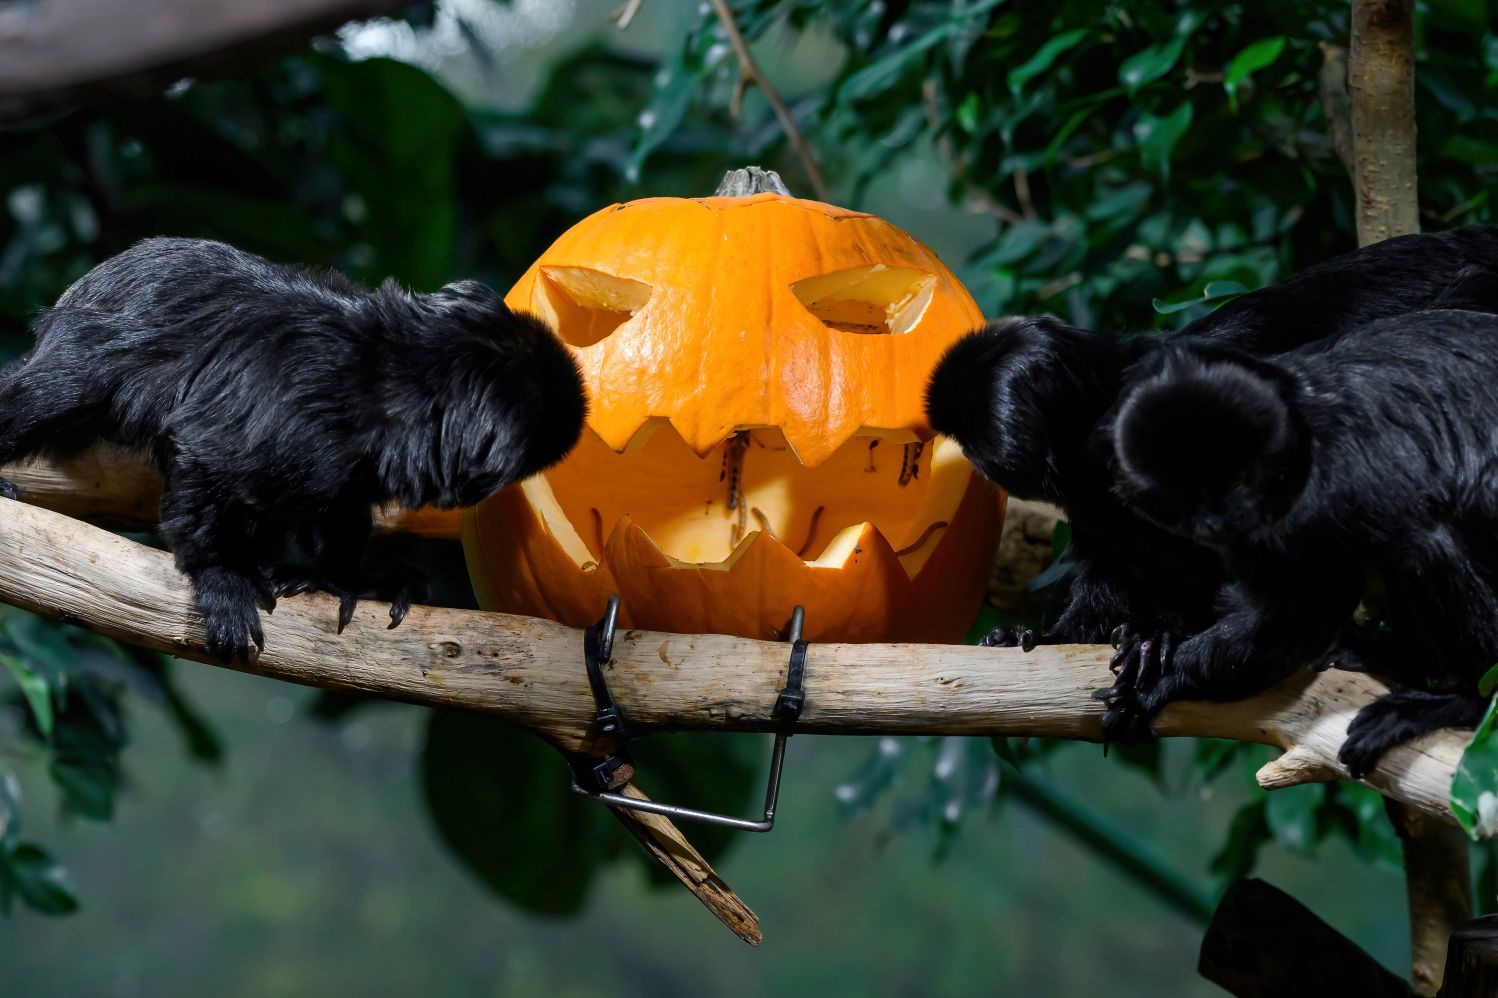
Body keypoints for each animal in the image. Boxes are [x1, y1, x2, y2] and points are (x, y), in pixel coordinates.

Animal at [0, 236, 584, 659]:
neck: (390, 384)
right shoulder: (297, 416)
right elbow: (205, 454)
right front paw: (222, 577)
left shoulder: (342, 460)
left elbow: (338, 509)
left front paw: (351, 579)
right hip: (85, 341)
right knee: (52, 392)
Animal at [1108, 307, 1498, 773]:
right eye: (1187, 498)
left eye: (1237, 479)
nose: (1221, 519)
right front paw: (1154, 638)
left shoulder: (1327, 491)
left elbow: (1296, 619)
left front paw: (1163, 680)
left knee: (1426, 543)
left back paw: (1462, 700)